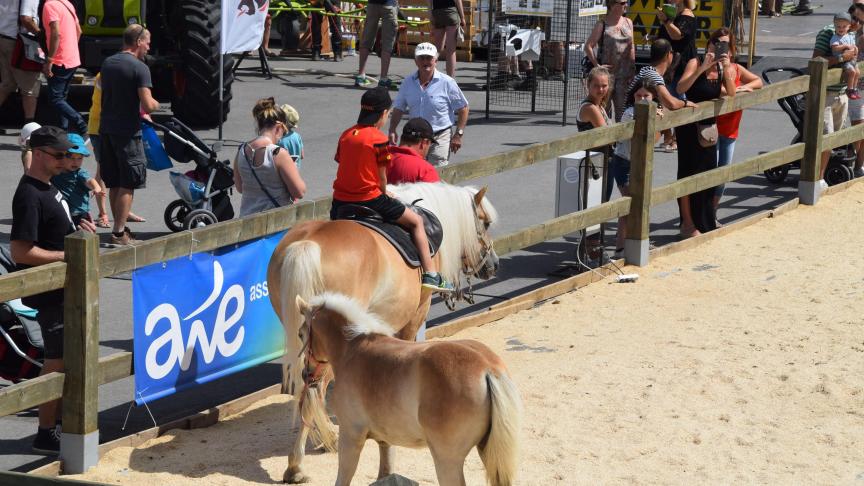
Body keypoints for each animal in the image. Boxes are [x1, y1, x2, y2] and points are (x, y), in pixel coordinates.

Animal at [266, 182, 499, 483]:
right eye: (485, 222)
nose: (494, 264)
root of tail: (307, 244)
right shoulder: (415, 314)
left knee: (305, 386)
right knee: (316, 387)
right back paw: (302, 460)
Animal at [296, 292, 522, 486]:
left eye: (300, 334)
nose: (306, 375)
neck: (351, 350)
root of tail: (488, 368)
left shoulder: (350, 437)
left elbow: (344, 477)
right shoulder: (385, 441)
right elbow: (385, 473)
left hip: (447, 460)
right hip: (487, 451)